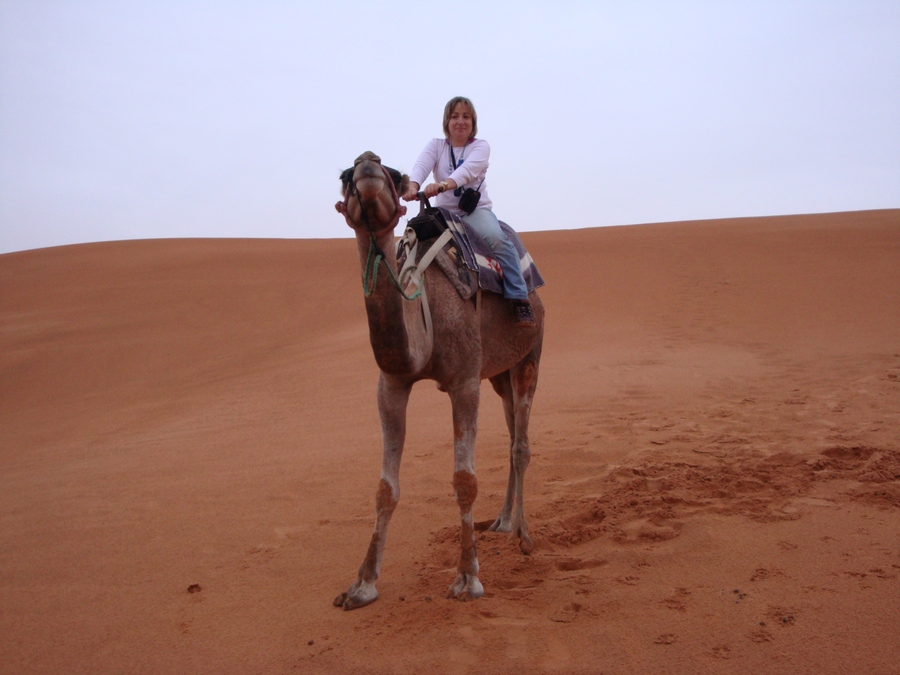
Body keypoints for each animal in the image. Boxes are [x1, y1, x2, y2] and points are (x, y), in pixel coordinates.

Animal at [330, 151, 540, 608]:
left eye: (393, 175)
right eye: (344, 176)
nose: (367, 162)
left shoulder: (464, 382)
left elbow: (465, 480)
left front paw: (468, 578)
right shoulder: (392, 384)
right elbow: (385, 488)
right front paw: (362, 584)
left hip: (531, 353)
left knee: (521, 443)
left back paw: (524, 536)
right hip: (498, 372)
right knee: (512, 428)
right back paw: (502, 521)